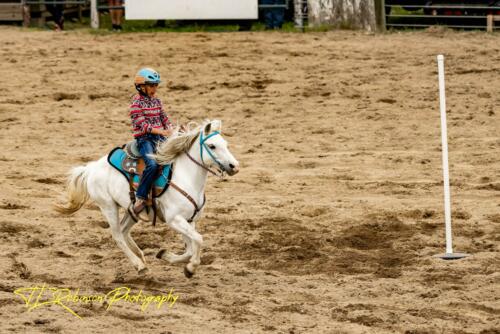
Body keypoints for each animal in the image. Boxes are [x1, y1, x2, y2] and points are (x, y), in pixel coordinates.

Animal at [55, 119, 239, 276]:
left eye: (226, 144)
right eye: (212, 146)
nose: (234, 166)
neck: (186, 178)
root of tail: (91, 168)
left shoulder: (189, 220)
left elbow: (190, 247)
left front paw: (165, 255)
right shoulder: (174, 219)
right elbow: (199, 240)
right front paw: (191, 268)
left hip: (131, 210)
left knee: (124, 231)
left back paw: (141, 257)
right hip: (108, 206)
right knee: (117, 236)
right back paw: (139, 265)